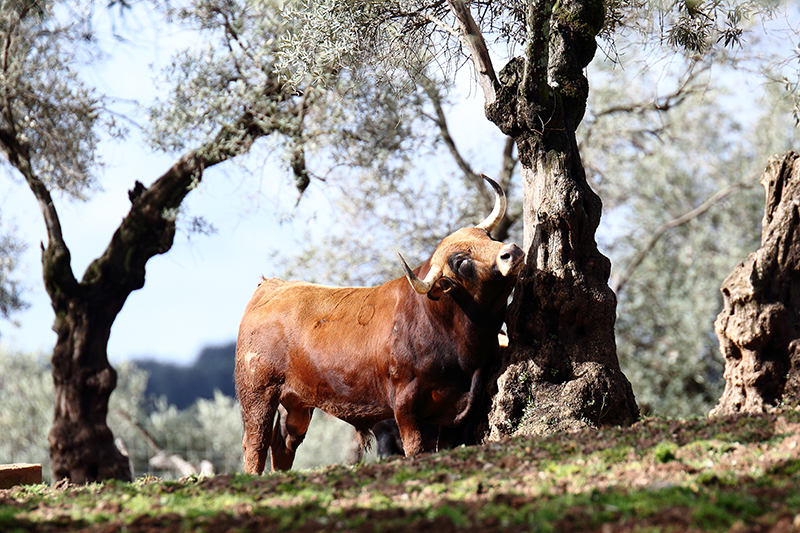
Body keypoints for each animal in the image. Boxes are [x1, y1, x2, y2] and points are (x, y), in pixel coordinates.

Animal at [234, 175, 524, 470]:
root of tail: (272, 285)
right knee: (255, 444)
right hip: (258, 395)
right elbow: (414, 448)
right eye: (460, 262)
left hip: (296, 404)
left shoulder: (457, 411)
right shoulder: (405, 405)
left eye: (489, 237)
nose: (511, 251)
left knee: (282, 445)